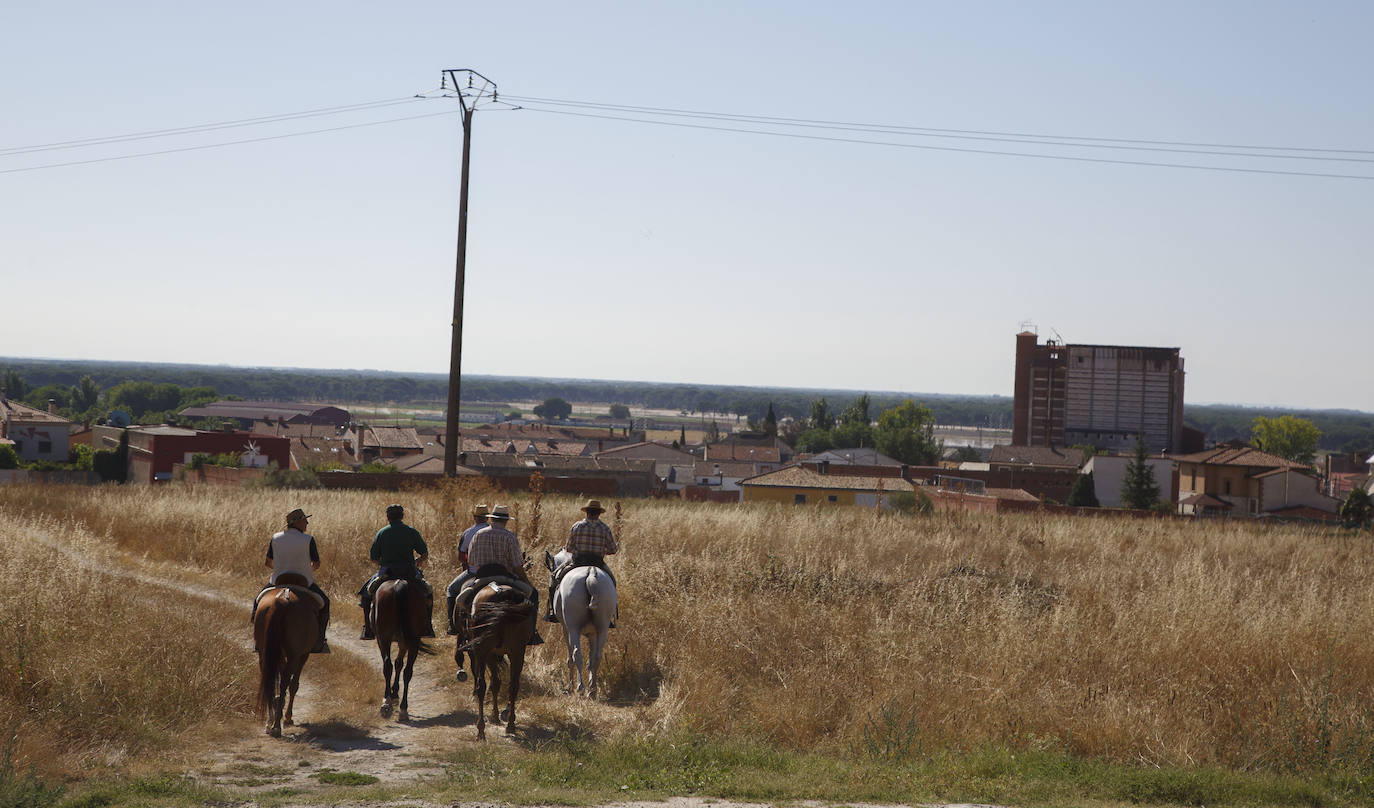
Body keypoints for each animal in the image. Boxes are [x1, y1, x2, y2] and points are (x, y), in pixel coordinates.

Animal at [252, 582, 316, 736]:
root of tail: (281, 601)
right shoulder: (303, 655)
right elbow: (293, 685)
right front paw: (287, 718)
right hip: (294, 654)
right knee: (285, 682)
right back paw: (277, 725)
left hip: (264, 651)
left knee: (268, 679)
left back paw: (270, 723)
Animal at [373, 577, 431, 720]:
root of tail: (399, 585)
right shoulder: (404, 641)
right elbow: (399, 663)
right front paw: (395, 692)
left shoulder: (383, 639)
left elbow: (396, 663)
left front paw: (393, 694)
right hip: (413, 639)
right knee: (407, 671)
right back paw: (403, 708)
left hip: (384, 636)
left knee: (388, 665)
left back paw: (387, 703)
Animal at [461, 582, 530, 742]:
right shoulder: (498, 653)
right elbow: (497, 683)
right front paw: (496, 715)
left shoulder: (489, 653)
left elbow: (493, 683)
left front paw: (494, 715)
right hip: (518, 651)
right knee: (513, 686)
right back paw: (510, 725)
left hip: (482, 650)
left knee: (481, 685)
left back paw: (481, 730)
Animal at [541, 549, 618, 700]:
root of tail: (591, 573)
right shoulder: (593, 633)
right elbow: (591, 659)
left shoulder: (566, 629)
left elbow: (570, 657)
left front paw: (570, 686)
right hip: (603, 628)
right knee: (597, 656)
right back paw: (592, 690)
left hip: (573, 628)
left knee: (577, 654)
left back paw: (580, 687)